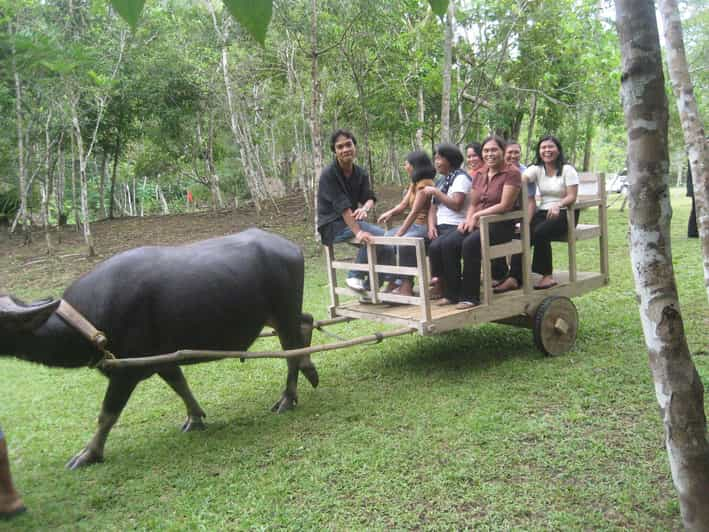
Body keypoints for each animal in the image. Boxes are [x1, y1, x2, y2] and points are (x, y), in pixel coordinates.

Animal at [0, 230, 316, 470]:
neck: (88, 322)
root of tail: (290, 247)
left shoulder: (126, 371)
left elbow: (107, 414)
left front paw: (89, 454)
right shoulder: (162, 359)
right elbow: (180, 384)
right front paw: (195, 418)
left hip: (283, 312)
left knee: (290, 352)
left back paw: (288, 398)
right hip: (278, 315)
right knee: (306, 322)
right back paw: (310, 371)